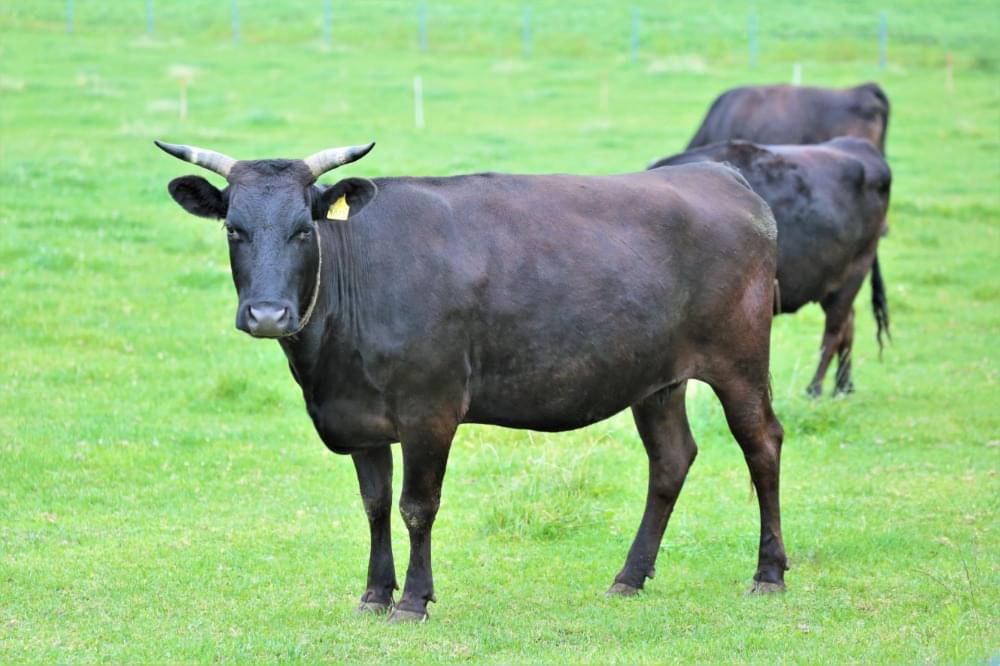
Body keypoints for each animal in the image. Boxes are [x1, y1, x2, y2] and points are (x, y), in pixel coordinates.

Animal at [154, 137, 788, 620]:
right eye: (234, 229)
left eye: (303, 231)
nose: (267, 315)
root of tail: (718, 174)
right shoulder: (359, 417)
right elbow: (375, 505)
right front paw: (374, 594)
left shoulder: (429, 409)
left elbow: (416, 505)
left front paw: (413, 601)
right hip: (655, 380)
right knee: (671, 459)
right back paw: (629, 576)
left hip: (740, 361)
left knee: (762, 445)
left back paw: (769, 573)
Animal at [648, 135, 892, 394]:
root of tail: (857, 145)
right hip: (833, 281)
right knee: (849, 323)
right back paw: (843, 387)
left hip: (856, 271)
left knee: (834, 330)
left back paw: (815, 389)